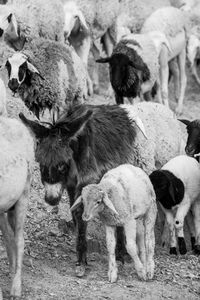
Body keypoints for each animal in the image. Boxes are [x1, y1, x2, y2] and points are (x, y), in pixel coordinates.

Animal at [18, 102, 186, 278]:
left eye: (62, 165)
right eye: (40, 163)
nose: (51, 200)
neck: (79, 150)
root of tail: (165, 109)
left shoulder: (92, 181)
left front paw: (111, 256)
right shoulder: (74, 186)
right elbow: (77, 214)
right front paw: (84, 258)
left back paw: (164, 241)